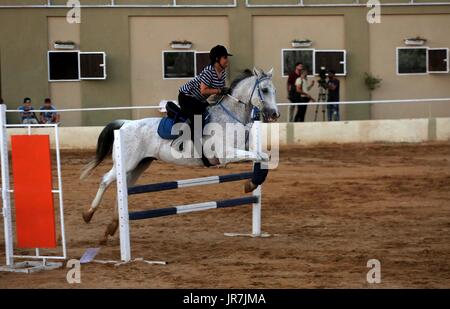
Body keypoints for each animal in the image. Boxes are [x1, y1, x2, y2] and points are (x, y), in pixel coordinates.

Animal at [80, 67, 278, 243]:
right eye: (264, 90)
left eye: (274, 90)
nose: (275, 114)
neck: (231, 116)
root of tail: (125, 124)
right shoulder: (227, 155)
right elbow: (260, 157)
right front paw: (251, 184)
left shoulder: (243, 148)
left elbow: (263, 157)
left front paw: (252, 183)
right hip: (127, 163)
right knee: (105, 180)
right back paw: (88, 214)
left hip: (139, 165)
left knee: (124, 189)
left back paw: (111, 227)